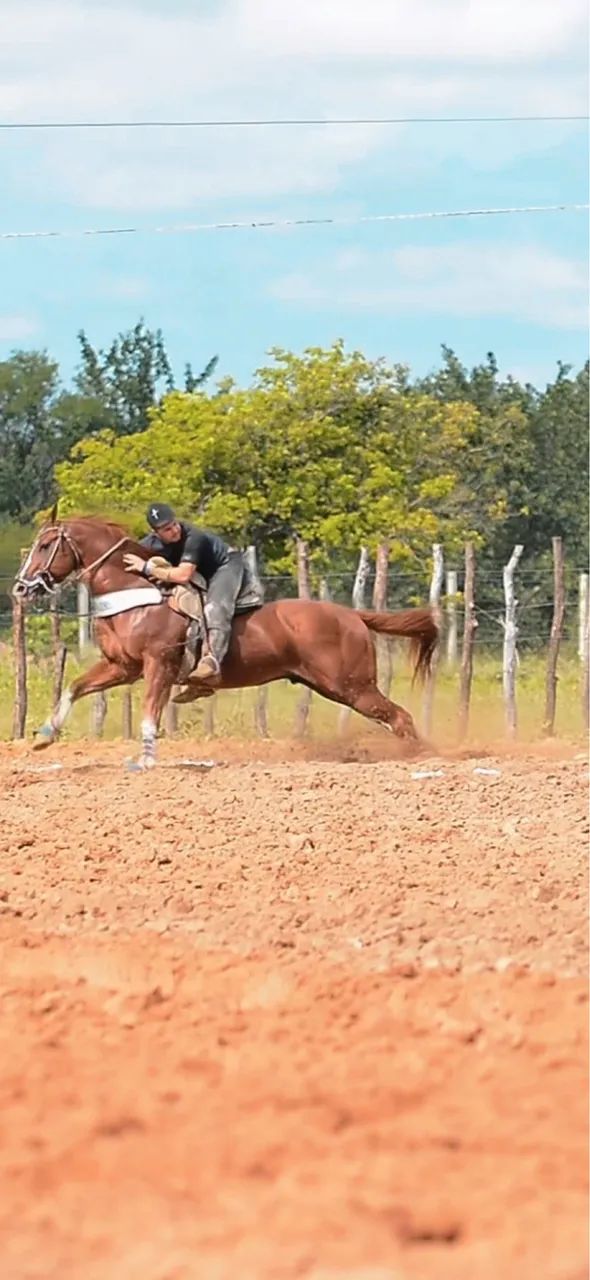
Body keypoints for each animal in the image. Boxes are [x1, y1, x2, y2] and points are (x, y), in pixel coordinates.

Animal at [13, 508, 438, 768]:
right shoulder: (122, 667)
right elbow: (74, 687)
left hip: (352, 686)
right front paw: (44, 736)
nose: (20, 588)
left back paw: (425, 756)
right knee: (396, 718)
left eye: (46, 545)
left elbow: (150, 713)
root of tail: (352, 615)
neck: (135, 593)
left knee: (400, 716)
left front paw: (145, 759)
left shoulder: (158, 665)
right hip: (336, 686)